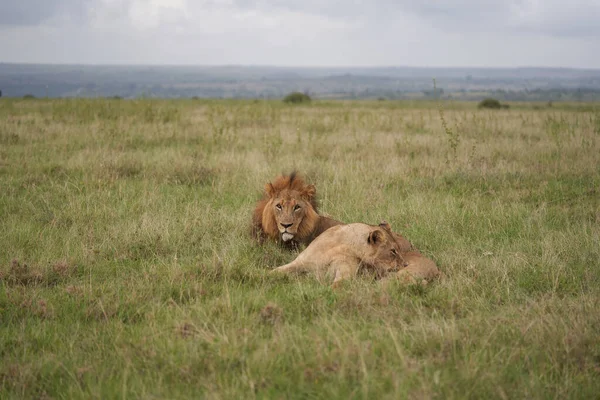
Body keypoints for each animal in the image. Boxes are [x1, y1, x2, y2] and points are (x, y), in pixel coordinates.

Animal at [274, 222, 408, 288]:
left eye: (398, 250)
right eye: (393, 251)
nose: (406, 264)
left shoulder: (346, 270)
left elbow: (338, 283)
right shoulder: (300, 262)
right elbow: (276, 271)